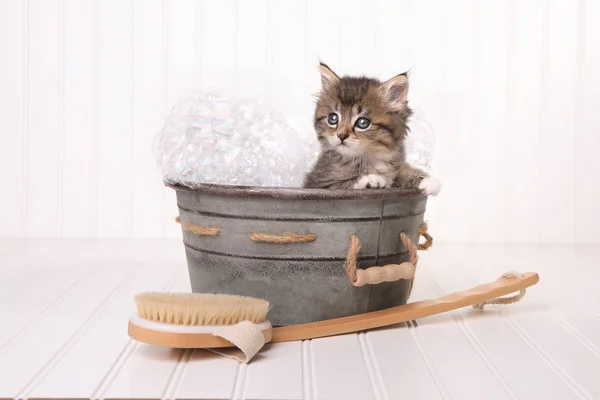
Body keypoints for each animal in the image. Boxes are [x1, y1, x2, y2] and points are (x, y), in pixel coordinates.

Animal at [304, 61, 440, 196]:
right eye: (333, 118)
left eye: (363, 122)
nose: (341, 135)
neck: (371, 157)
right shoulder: (318, 182)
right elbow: (342, 184)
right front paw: (370, 179)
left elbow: (401, 171)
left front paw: (425, 179)